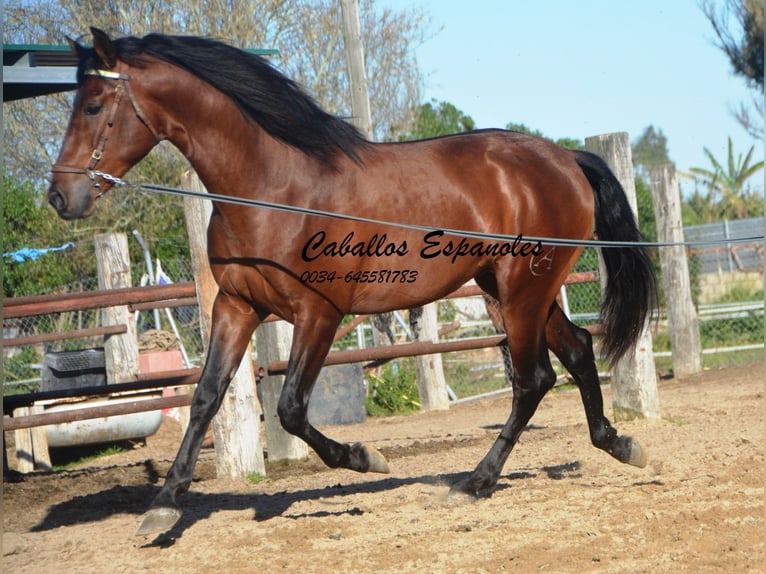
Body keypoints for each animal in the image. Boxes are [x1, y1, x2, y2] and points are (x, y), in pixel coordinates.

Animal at [48, 30, 656, 536]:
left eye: (93, 105)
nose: (60, 196)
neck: (274, 188)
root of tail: (565, 159)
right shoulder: (236, 307)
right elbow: (205, 398)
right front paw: (164, 507)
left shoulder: (319, 313)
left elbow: (291, 408)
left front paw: (366, 458)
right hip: (511, 291)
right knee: (577, 350)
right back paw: (619, 444)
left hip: (521, 292)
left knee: (533, 379)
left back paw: (475, 483)